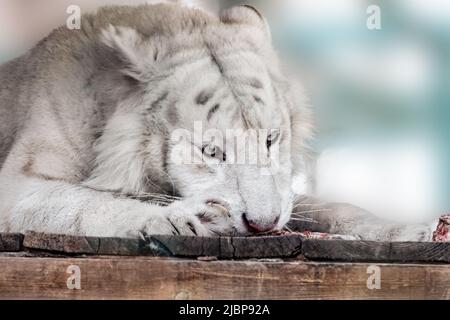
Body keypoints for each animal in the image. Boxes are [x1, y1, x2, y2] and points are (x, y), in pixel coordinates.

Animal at [0, 3, 436, 240]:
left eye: (271, 139)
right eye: (211, 151)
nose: (262, 225)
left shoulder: (285, 194)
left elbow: (332, 206)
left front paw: (411, 231)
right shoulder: (17, 186)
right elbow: (86, 202)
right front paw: (185, 218)